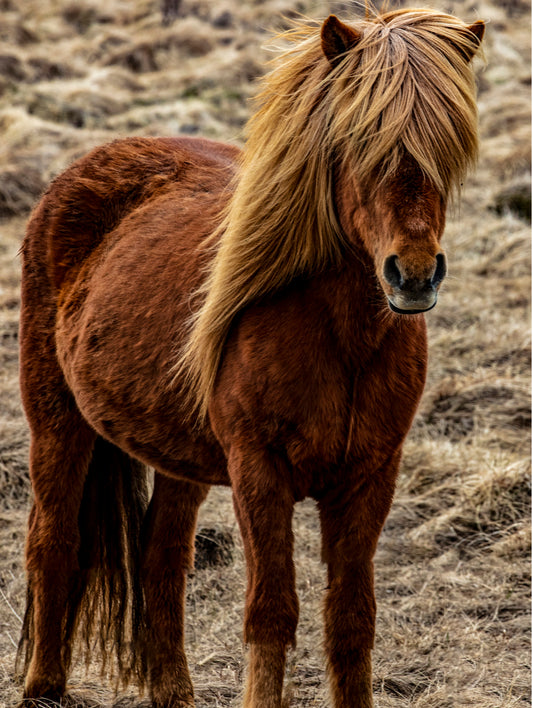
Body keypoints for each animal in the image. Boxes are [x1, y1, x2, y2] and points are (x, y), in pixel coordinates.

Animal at [17, 8, 484, 708]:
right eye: (358, 145)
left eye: (448, 152)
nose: (414, 276)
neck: (340, 339)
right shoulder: (259, 472)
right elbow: (271, 613)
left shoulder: (371, 477)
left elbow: (351, 620)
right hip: (57, 422)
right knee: (55, 542)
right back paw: (43, 686)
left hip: (175, 454)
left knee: (161, 559)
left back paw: (173, 692)